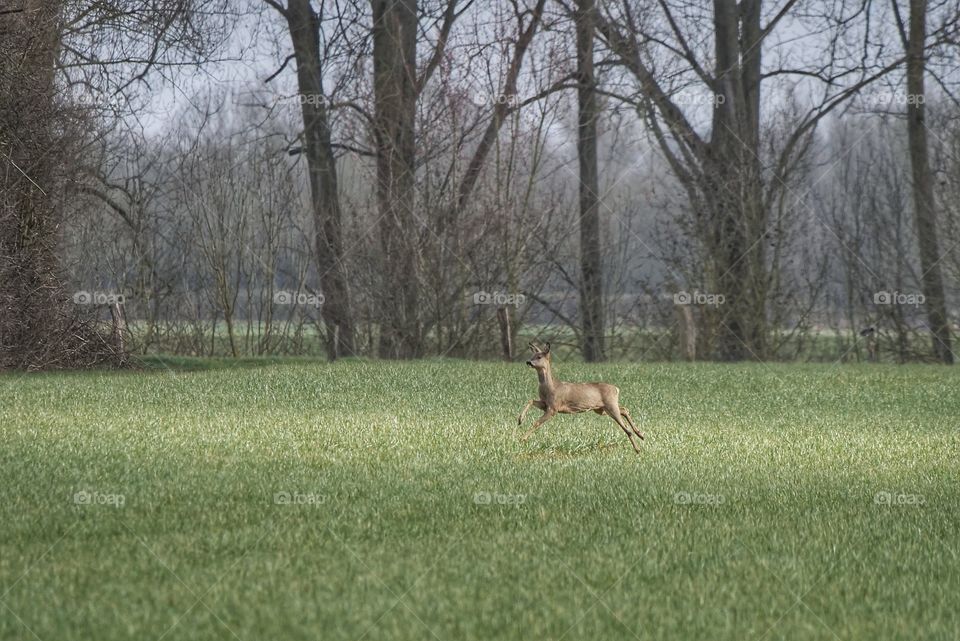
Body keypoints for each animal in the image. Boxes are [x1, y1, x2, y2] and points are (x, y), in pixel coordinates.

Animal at [516, 342, 644, 452]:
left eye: (539, 357)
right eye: (532, 355)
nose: (528, 361)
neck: (550, 387)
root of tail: (616, 389)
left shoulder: (554, 407)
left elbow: (536, 423)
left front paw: (522, 438)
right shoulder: (545, 404)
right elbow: (531, 400)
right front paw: (520, 420)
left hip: (610, 405)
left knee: (626, 428)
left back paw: (638, 448)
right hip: (601, 409)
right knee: (624, 409)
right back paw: (640, 434)